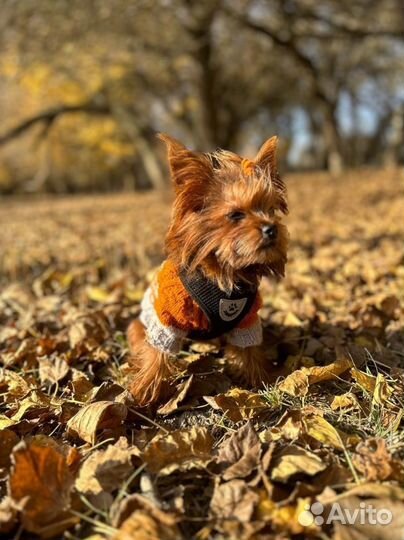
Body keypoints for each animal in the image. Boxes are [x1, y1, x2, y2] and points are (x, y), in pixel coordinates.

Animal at [126, 135, 288, 404]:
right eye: (235, 215)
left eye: (270, 210)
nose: (271, 229)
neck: (225, 273)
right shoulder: (167, 320)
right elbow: (157, 353)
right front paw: (147, 387)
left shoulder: (247, 320)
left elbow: (250, 349)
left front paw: (259, 377)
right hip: (144, 322)